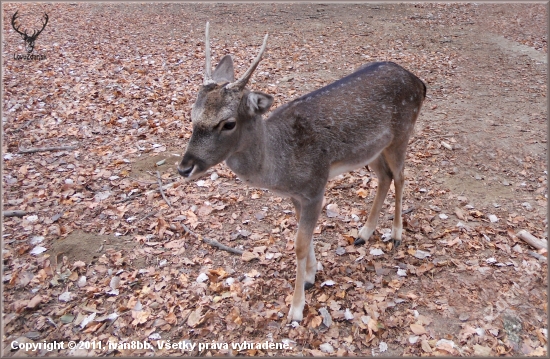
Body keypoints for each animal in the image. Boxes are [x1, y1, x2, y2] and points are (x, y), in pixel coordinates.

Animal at [178, 23, 426, 324]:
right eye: (192, 115)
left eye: (228, 123)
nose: (184, 167)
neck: (280, 168)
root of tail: (419, 83)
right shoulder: (296, 195)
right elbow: (304, 240)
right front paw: (311, 275)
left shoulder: (315, 187)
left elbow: (298, 244)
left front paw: (296, 309)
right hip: (373, 150)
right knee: (385, 177)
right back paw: (363, 233)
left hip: (402, 134)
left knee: (401, 177)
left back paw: (397, 234)